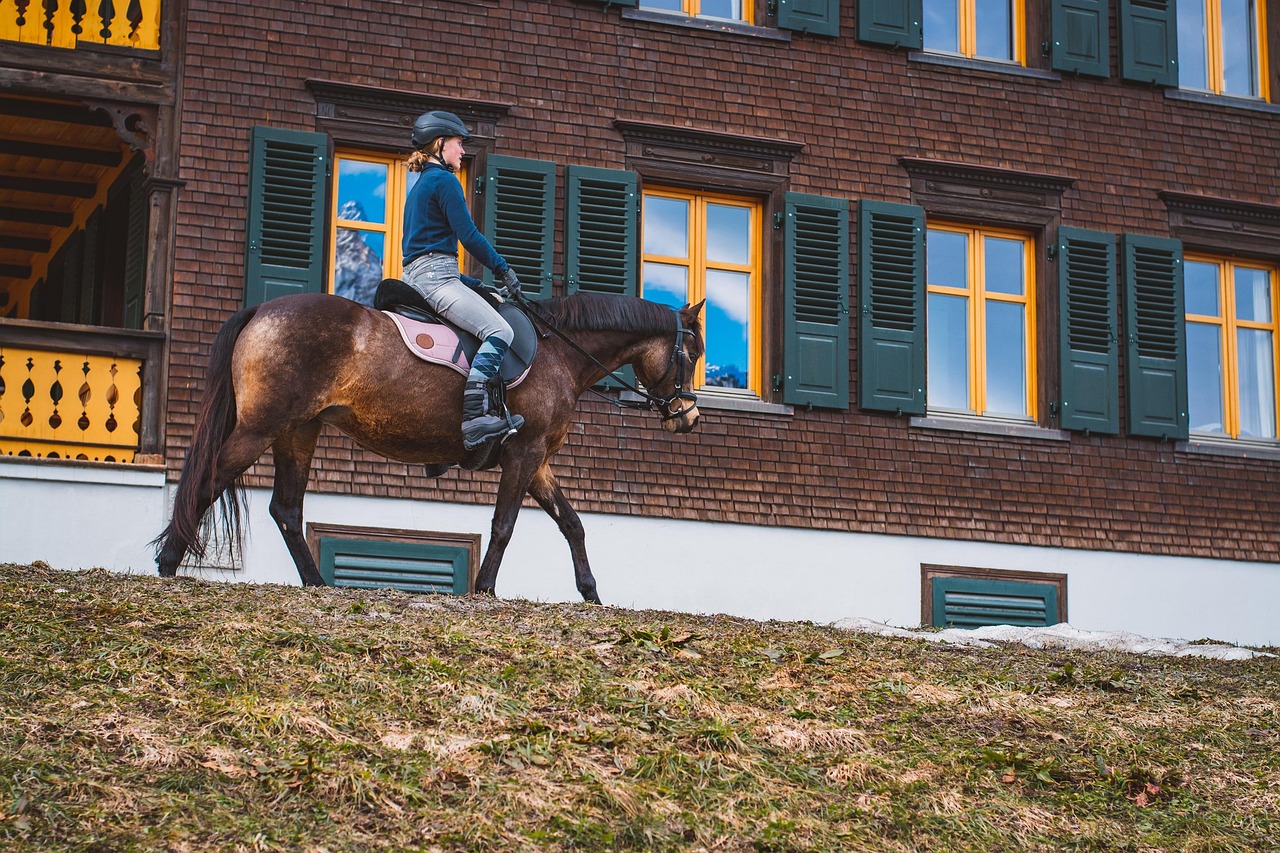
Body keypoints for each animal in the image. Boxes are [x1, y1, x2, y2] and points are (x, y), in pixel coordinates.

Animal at [152, 290, 705, 604]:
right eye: (693, 351)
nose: (689, 416)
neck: (557, 352)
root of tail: (261, 310)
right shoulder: (524, 453)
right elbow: (504, 525)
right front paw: (485, 591)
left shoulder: (537, 461)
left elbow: (572, 523)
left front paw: (591, 594)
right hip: (261, 428)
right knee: (207, 482)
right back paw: (168, 563)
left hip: (297, 431)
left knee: (286, 509)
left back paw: (316, 585)